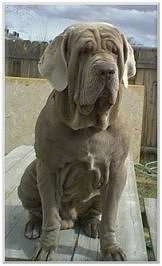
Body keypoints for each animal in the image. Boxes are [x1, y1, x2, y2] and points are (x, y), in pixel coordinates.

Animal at [17, 22, 136, 260]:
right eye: (83, 52)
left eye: (115, 52)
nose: (107, 70)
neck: (89, 125)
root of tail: (71, 218)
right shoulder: (48, 169)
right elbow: (50, 214)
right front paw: (46, 247)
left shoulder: (117, 172)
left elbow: (110, 216)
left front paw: (112, 249)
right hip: (29, 176)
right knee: (37, 210)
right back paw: (34, 226)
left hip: (100, 193)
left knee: (94, 212)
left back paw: (92, 225)